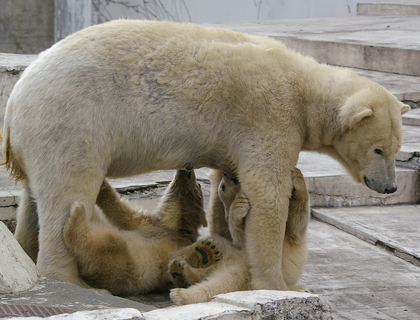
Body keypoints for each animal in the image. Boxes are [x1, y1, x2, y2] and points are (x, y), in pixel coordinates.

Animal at [62, 170, 207, 296]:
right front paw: (102, 182)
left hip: (122, 262)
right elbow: (120, 212)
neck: (173, 225)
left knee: (107, 241)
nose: (188, 170)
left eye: (198, 183)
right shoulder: (150, 225)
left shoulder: (162, 232)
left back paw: (78, 213)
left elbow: (122, 211)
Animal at [167, 168, 308, 304]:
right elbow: (245, 239)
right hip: (239, 265)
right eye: (223, 186)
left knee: (218, 272)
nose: (225, 175)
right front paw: (239, 205)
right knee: (227, 279)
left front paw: (297, 177)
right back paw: (180, 287)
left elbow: (296, 223)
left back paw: (182, 271)